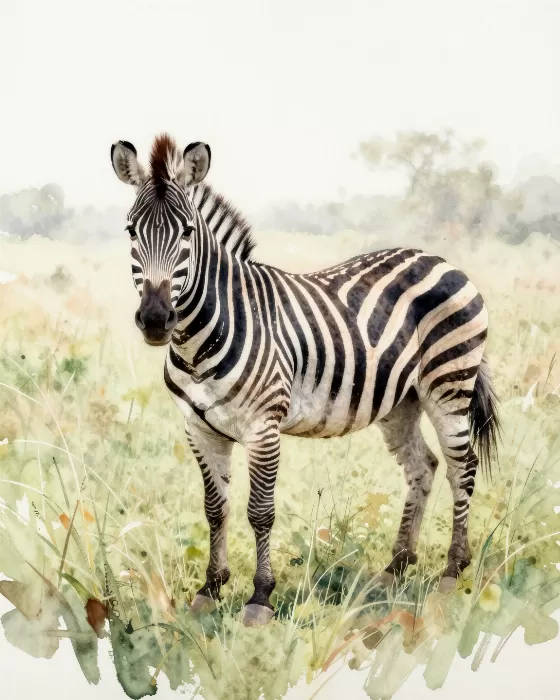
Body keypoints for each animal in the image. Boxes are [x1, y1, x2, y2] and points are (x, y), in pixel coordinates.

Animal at [110, 133, 500, 627]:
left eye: (188, 233)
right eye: (131, 231)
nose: (156, 320)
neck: (201, 336)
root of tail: (440, 258)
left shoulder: (264, 426)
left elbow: (260, 511)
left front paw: (260, 598)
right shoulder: (199, 428)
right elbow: (215, 509)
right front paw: (210, 589)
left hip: (449, 383)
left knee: (461, 467)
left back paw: (451, 573)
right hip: (401, 400)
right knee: (423, 467)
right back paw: (394, 569)